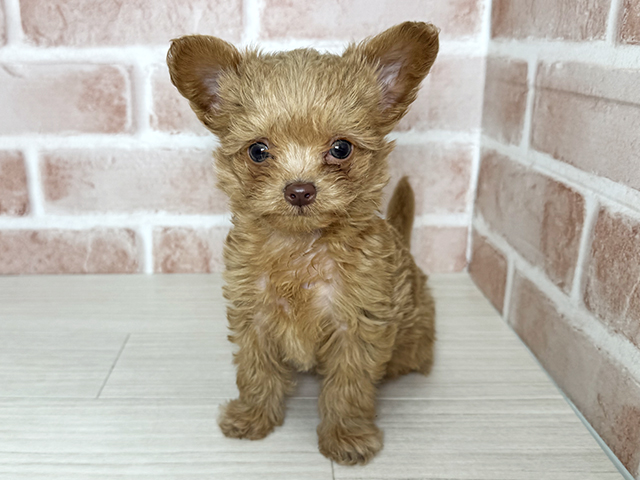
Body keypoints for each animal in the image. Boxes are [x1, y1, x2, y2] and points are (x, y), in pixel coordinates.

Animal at [167, 21, 439, 465]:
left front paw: (346, 436)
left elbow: (348, 387)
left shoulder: (356, 325)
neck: (300, 246)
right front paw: (253, 416)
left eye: (341, 148)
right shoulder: (253, 316)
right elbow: (255, 370)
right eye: (258, 150)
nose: (299, 190)